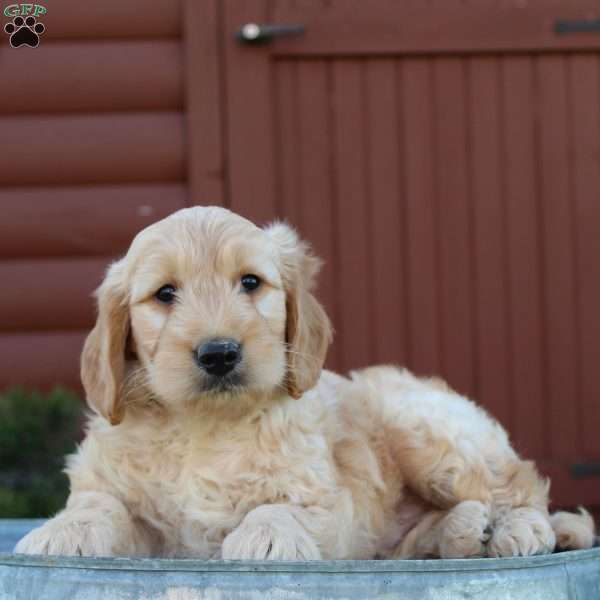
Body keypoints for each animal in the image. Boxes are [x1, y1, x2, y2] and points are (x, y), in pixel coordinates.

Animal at [15, 209, 596, 560]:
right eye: (164, 294)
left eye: (251, 282)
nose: (219, 353)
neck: (205, 427)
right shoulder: (136, 513)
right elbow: (99, 504)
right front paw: (62, 533)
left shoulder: (327, 499)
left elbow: (282, 506)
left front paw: (262, 539)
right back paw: (464, 531)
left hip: (428, 433)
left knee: (519, 484)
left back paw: (522, 529)